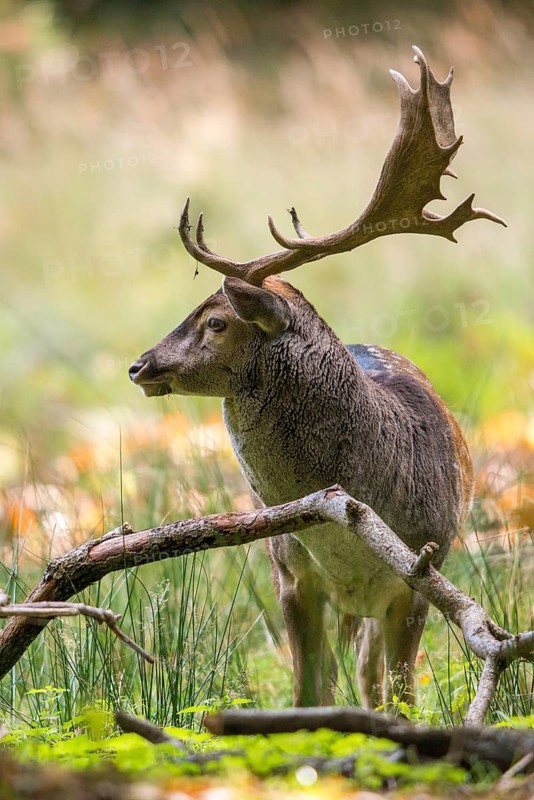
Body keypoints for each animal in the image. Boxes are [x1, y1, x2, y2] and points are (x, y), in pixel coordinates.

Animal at [129, 48, 505, 708]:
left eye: (217, 320)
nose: (140, 365)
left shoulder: (422, 571)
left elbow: (404, 695)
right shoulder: (289, 572)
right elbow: (309, 691)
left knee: (375, 679)